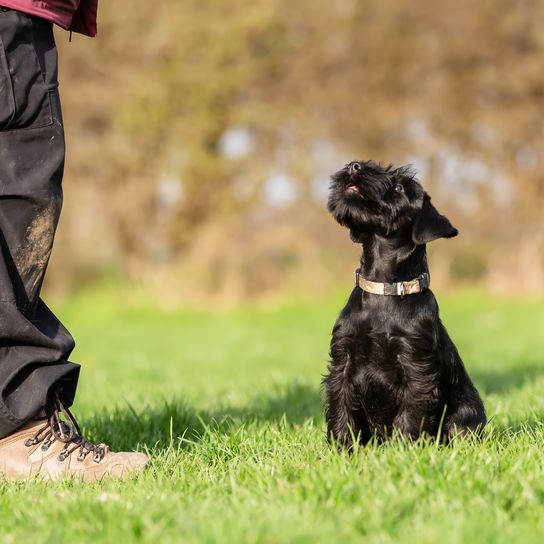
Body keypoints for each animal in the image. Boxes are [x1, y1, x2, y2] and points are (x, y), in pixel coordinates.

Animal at [324, 160, 484, 446]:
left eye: (399, 188)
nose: (354, 166)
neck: (384, 291)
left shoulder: (416, 367)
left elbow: (411, 415)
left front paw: (403, 449)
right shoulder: (342, 361)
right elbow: (341, 410)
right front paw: (341, 448)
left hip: (467, 415)